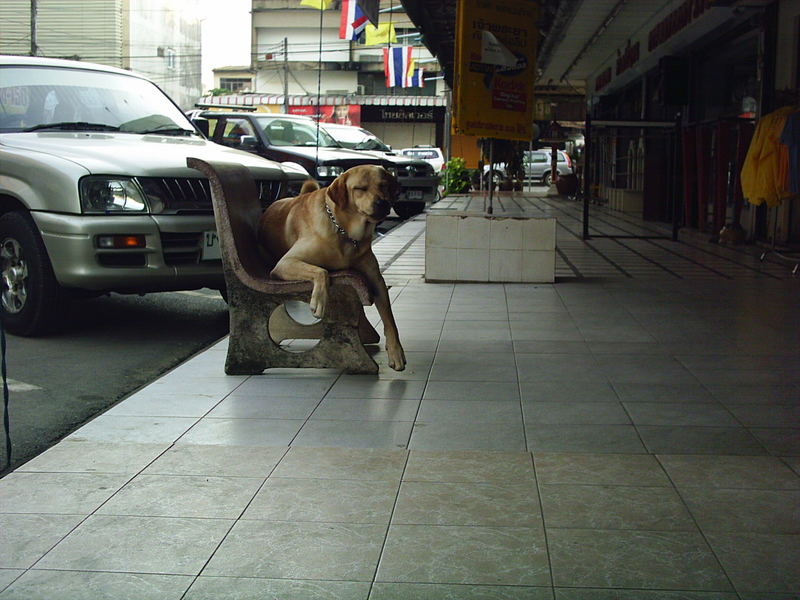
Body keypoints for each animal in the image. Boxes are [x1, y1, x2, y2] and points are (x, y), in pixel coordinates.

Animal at [258, 164, 406, 370]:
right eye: (360, 188)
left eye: (383, 185)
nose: (383, 203)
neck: (343, 231)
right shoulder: (286, 263)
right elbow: (322, 271)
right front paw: (319, 301)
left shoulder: (376, 281)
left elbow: (390, 320)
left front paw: (396, 351)